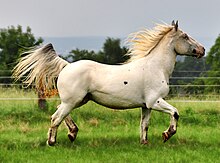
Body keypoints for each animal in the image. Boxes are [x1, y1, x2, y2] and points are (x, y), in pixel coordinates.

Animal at [12, 21, 205, 146]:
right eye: (185, 36)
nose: (202, 50)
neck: (156, 67)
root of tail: (67, 66)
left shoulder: (146, 106)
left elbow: (144, 125)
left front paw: (144, 143)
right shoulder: (155, 101)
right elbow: (175, 112)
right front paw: (167, 135)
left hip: (78, 100)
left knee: (59, 112)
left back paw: (72, 133)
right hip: (73, 101)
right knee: (56, 117)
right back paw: (52, 141)